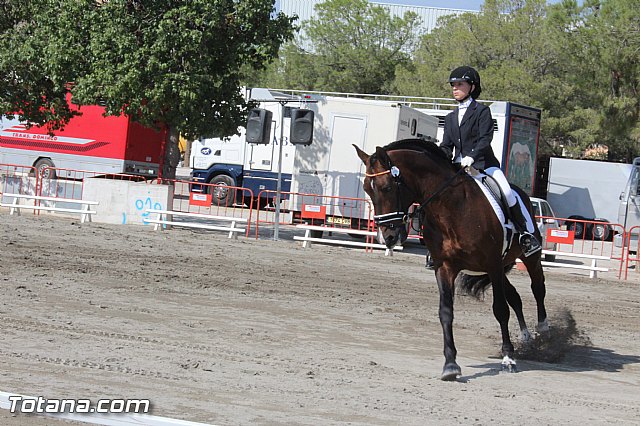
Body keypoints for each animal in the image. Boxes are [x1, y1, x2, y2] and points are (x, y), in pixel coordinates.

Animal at [354, 138, 549, 381]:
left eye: (387, 187)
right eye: (366, 189)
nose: (389, 237)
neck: (450, 208)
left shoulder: (493, 264)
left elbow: (500, 310)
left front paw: (508, 358)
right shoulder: (445, 267)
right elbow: (446, 312)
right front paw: (450, 365)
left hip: (527, 258)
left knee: (537, 288)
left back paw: (544, 332)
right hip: (497, 269)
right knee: (515, 296)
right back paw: (526, 336)